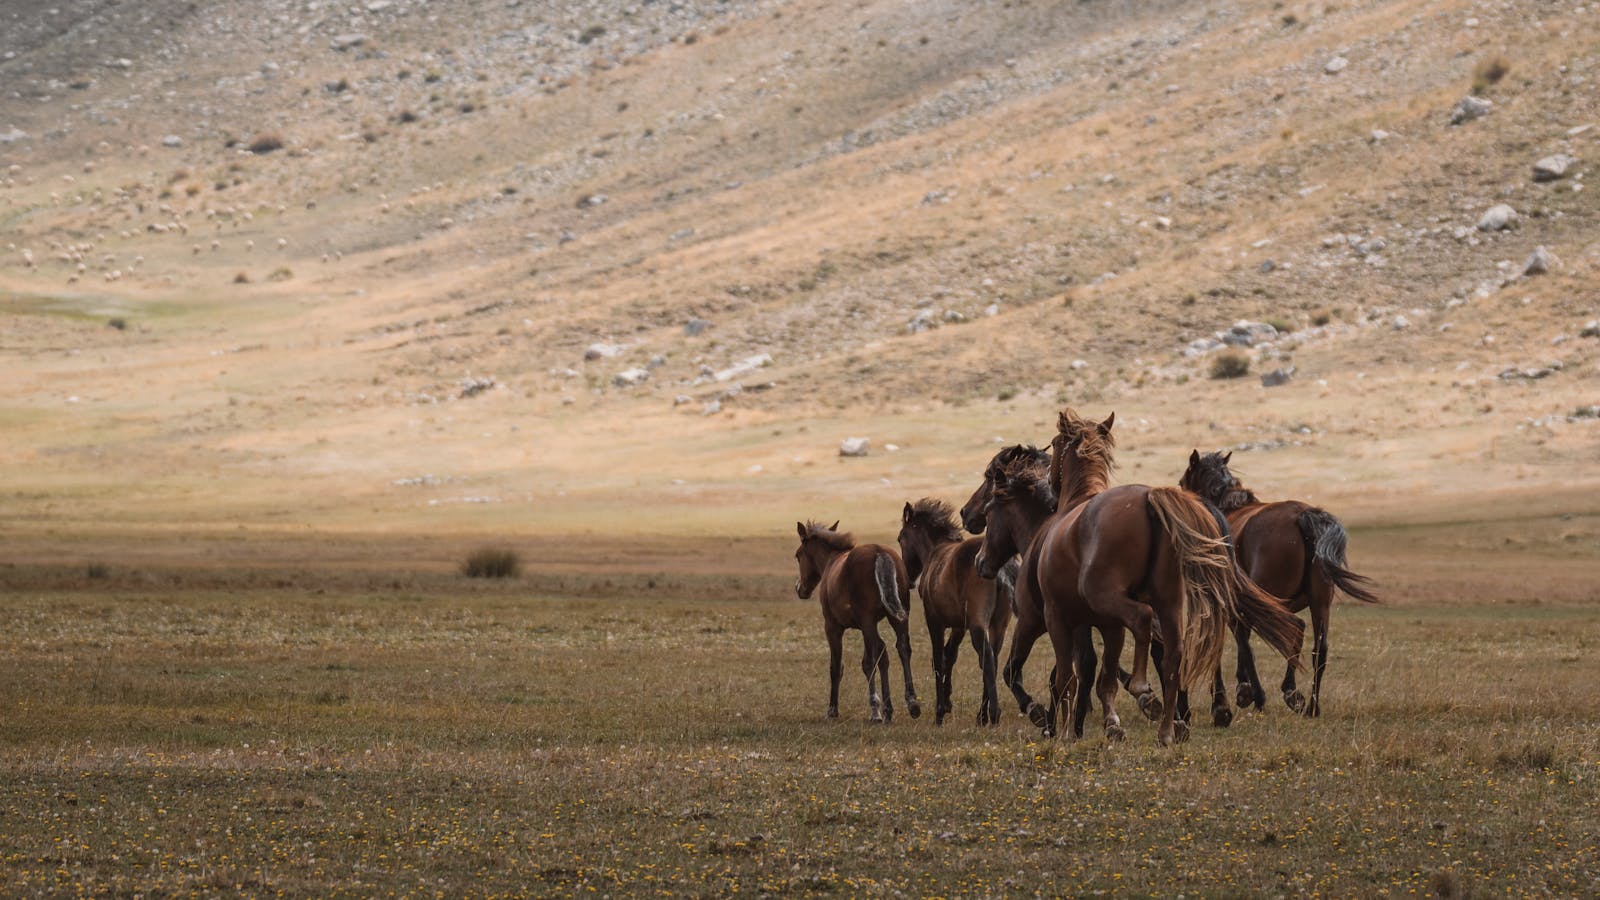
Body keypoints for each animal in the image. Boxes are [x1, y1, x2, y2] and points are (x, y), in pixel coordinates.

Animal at [790, 518, 921, 720]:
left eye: (798, 555)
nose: (800, 589)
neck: (831, 561)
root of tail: (880, 553)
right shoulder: (867, 625)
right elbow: (879, 659)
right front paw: (886, 707)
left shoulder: (833, 626)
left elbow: (837, 667)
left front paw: (832, 709)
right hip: (897, 616)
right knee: (902, 648)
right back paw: (910, 703)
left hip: (868, 622)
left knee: (874, 657)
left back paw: (877, 710)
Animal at [902, 496, 1011, 720]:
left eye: (900, 538)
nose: (907, 578)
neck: (935, 552)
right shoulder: (959, 625)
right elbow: (950, 655)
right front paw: (947, 701)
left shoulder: (934, 621)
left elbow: (937, 659)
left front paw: (939, 711)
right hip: (999, 625)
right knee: (993, 658)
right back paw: (982, 715)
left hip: (978, 623)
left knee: (987, 658)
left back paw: (992, 713)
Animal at [972, 408, 1299, 743]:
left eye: (990, 507)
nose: (980, 560)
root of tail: (1151, 498)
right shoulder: (1105, 624)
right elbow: (1098, 676)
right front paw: (1103, 723)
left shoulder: (1046, 619)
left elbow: (1053, 676)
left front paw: (1056, 726)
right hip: (1168, 604)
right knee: (1175, 655)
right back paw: (1169, 728)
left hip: (1109, 602)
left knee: (1143, 623)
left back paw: (1148, 692)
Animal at [1177, 448, 1376, 714]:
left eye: (1185, 481)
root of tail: (1302, 516)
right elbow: (1244, 639)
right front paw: (1242, 689)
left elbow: (1241, 643)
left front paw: (1243, 693)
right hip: (1319, 602)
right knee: (1318, 648)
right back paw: (1310, 705)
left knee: (1292, 629)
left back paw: (1281, 694)